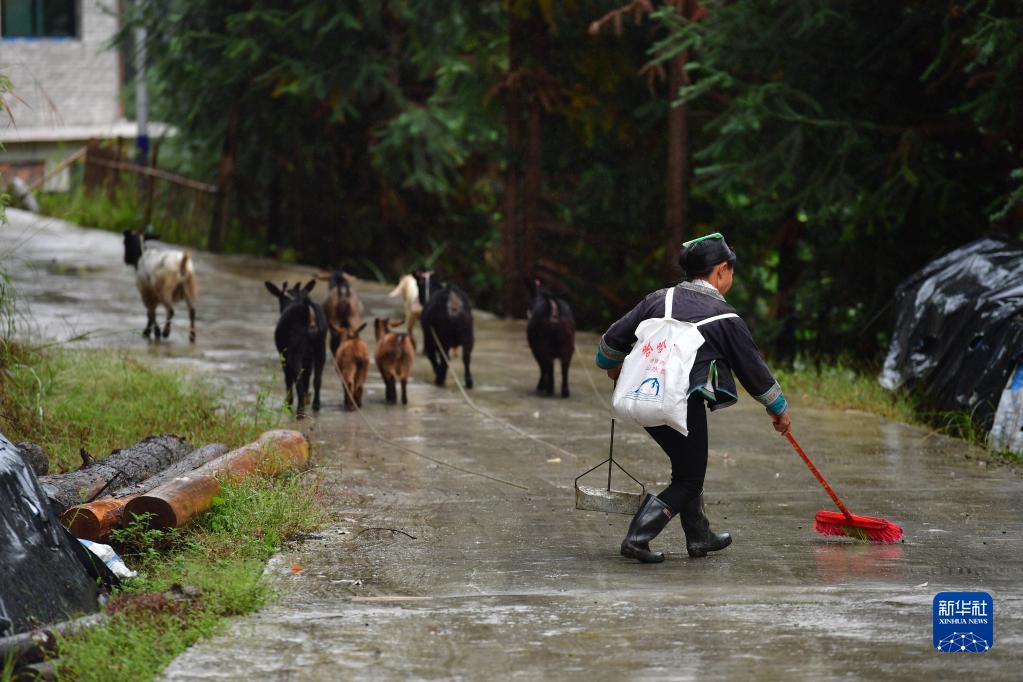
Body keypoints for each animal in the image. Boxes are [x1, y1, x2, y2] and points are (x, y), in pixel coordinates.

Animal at [265, 278, 325, 417]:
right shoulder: (308, 358)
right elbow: (308, 375)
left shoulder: (283, 355)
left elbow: (288, 379)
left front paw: (288, 403)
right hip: (320, 347)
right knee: (317, 379)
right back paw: (315, 405)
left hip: (295, 352)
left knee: (298, 381)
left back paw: (300, 412)